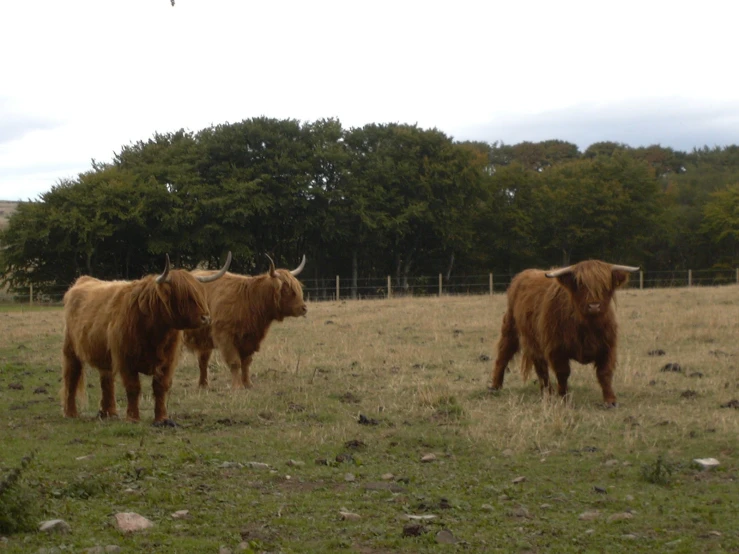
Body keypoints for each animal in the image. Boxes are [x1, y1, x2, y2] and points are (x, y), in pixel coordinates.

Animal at [62, 252, 231, 424]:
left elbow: (160, 387)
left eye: (200, 293)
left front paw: (162, 419)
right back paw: (71, 413)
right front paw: (133, 418)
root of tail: (83, 280)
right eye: (184, 296)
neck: (155, 331)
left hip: (105, 355)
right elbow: (133, 387)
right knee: (72, 377)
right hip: (71, 350)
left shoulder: (167, 361)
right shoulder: (126, 360)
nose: (206, 318)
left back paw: (109, 412)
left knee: (107, 381)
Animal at [184, 254, 308, 388]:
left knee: (203, 361)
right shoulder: (225, 336)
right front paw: (237, 386)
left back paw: (203, 385)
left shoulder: (250, 339)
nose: (304, 308)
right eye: (286, 290)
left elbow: (246, 362)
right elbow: (235, 362)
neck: (249, 300)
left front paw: (248, 384)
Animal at [488, 258, 640, 406]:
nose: (594, 306)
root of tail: (522, 275)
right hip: (512, 330)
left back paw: (546, 392)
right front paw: (563, 398)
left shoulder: (607, 347)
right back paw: (496, 387)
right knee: (505, 356)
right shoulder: (556, 348)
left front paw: (610, 400)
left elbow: (605, 373)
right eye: (580, 284)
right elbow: (563, 373)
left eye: (605, 285)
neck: (587, 325)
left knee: (539, 367)